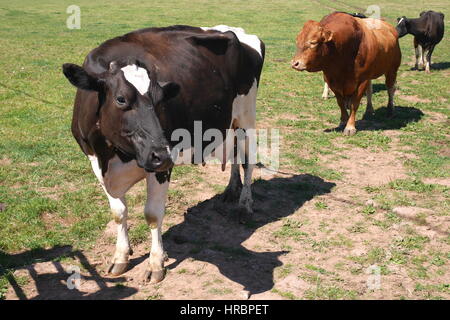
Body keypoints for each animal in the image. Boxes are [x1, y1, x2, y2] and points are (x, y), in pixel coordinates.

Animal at [59, 25, 264, 282]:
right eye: (121, 99)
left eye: (159, 100)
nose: (162, 154)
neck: (111, 155)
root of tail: (234, 30)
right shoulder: (94, 160)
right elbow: (118, 212)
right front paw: (121, 256)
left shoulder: (160, 168)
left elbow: (153, 214)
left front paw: (156, 263)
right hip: (231, 123)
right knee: (235, 152)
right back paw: (231, 189)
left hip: (247, 117)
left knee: (249, 159)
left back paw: (245, 204)